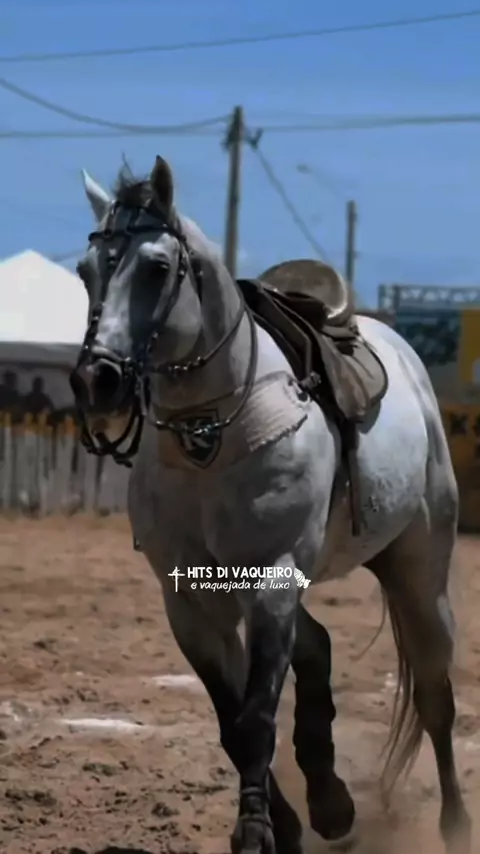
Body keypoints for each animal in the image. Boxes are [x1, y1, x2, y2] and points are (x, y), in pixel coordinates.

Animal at [69, 154, 471, 854]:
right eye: (86, 270)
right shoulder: (190, 603)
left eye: (156, 268)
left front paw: (256, 830)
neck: (210, 437)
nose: (99, 380)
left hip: (419, 569)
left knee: (434, 694)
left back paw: (452, 823)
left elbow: (256, 718)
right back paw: (332, 803)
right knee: (320, 647)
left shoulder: (273, 583)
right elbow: (233, 722)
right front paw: (286, 822)